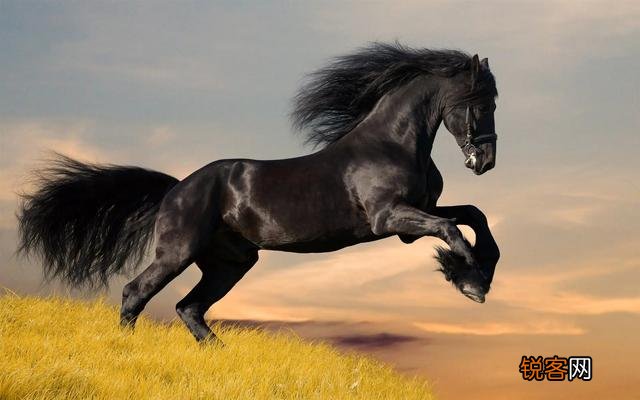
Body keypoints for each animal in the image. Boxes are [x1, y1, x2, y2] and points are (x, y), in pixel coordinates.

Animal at [17, 42, 500, 343]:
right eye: (480, 102)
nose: (486, 161)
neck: (392, 143)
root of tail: (177, 188)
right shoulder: (390, 219)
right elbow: (452, 230)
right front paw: (469, 281)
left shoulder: (415, 216)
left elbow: (473, 215)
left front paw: (477, 272)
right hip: (178, 252)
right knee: (136, 293)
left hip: (230, 263)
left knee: (189, 308)